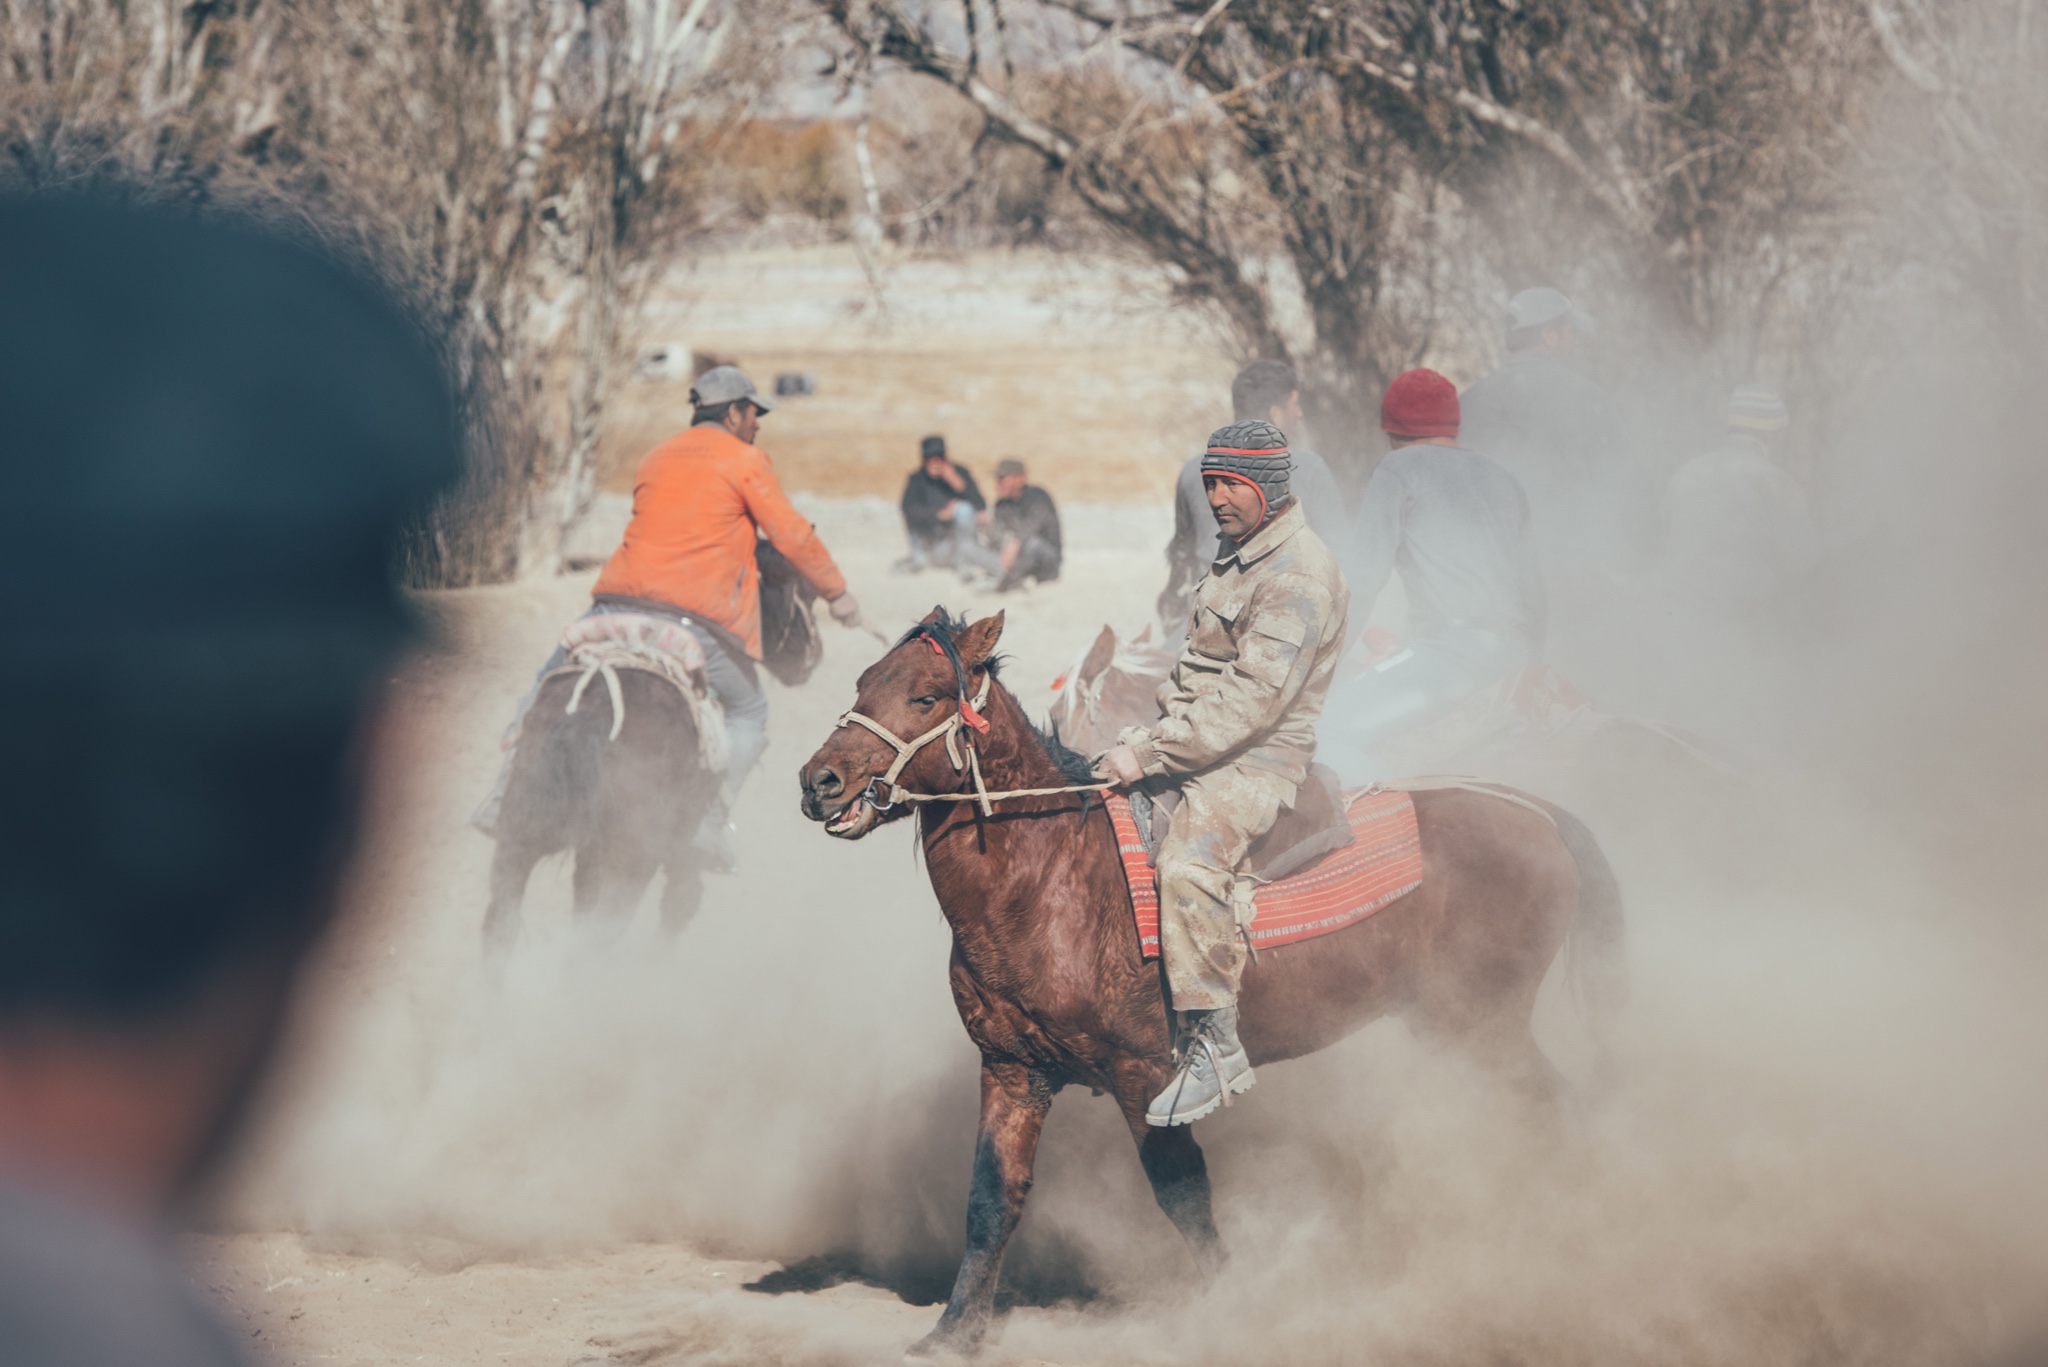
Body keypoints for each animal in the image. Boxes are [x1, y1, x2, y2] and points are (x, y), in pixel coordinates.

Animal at [794, 610, 1613, 1360]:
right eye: (863, 683)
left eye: (927, 695)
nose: (818, 781)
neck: (1054, 875)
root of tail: (1536, 812)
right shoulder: (1013, 1069)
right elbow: (992, 1197)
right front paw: (954, 1331)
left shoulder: (1142, 1075)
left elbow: (1182, 1192)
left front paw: (1233, 1308)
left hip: (1487, 1025)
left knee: (1562, 1109)